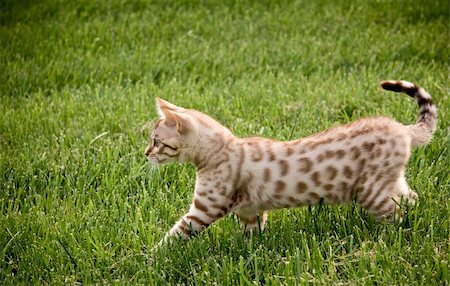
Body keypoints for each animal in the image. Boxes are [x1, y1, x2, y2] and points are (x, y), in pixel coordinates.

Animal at [147, 80, 436, 244]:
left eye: (156, 141)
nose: (145, 153)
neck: (221, 149)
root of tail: (401, 128)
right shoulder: (250, 211)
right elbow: (251, 238)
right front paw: (251, 253)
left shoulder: (204, 209)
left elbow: (174, 235)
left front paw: (151, 256)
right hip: (389, 183)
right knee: (411, 198)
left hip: (371, 192)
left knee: (395, 217)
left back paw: (387, 240)